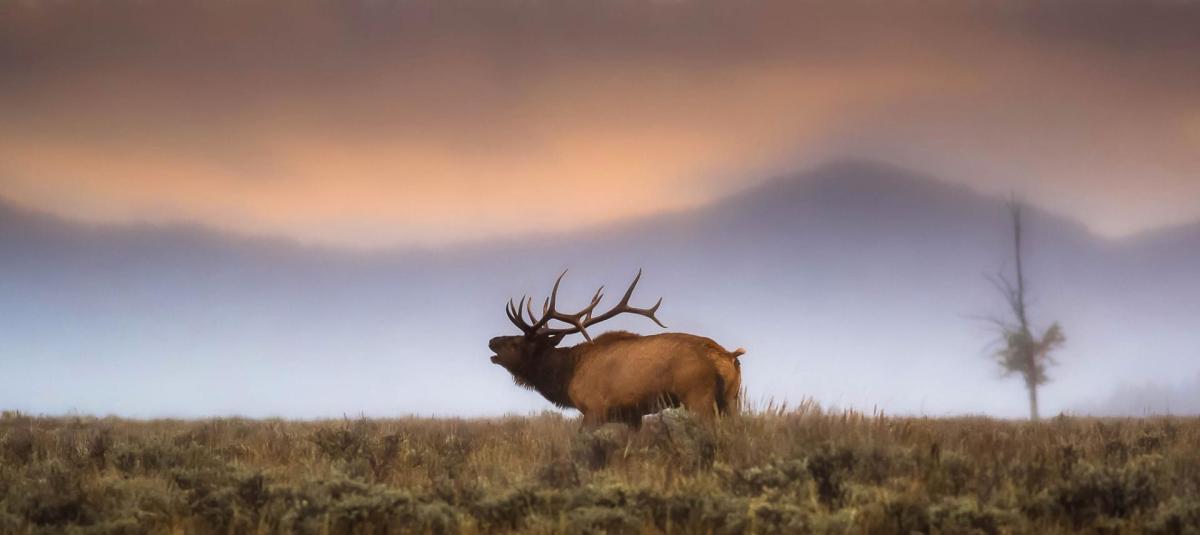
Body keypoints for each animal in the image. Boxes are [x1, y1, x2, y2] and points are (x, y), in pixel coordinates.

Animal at [488, 270, 746, 429]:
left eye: (517, 342)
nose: (492, 341)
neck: (567, 376)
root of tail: (727, 356)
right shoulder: (633, 415)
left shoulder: (594, 410)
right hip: (731, 400)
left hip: (698, 397)